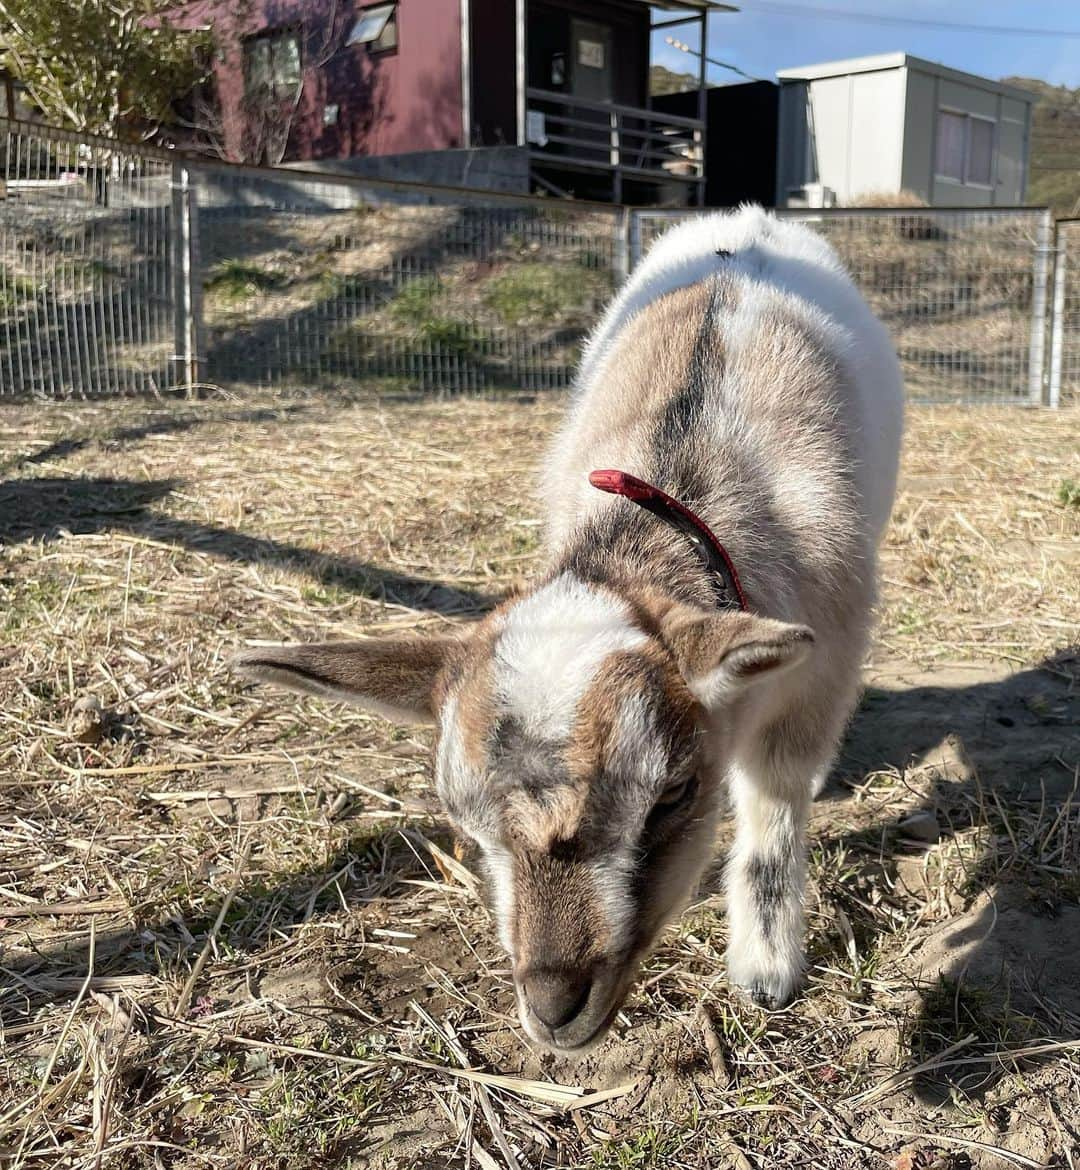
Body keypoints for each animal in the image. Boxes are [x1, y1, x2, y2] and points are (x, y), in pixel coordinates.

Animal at [234, 205, 903, 1057]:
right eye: (462, 820)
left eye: (674, 794)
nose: (554, 1008)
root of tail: (744, 220)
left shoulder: (823, 670)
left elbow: (775, 807)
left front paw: (766, 972)